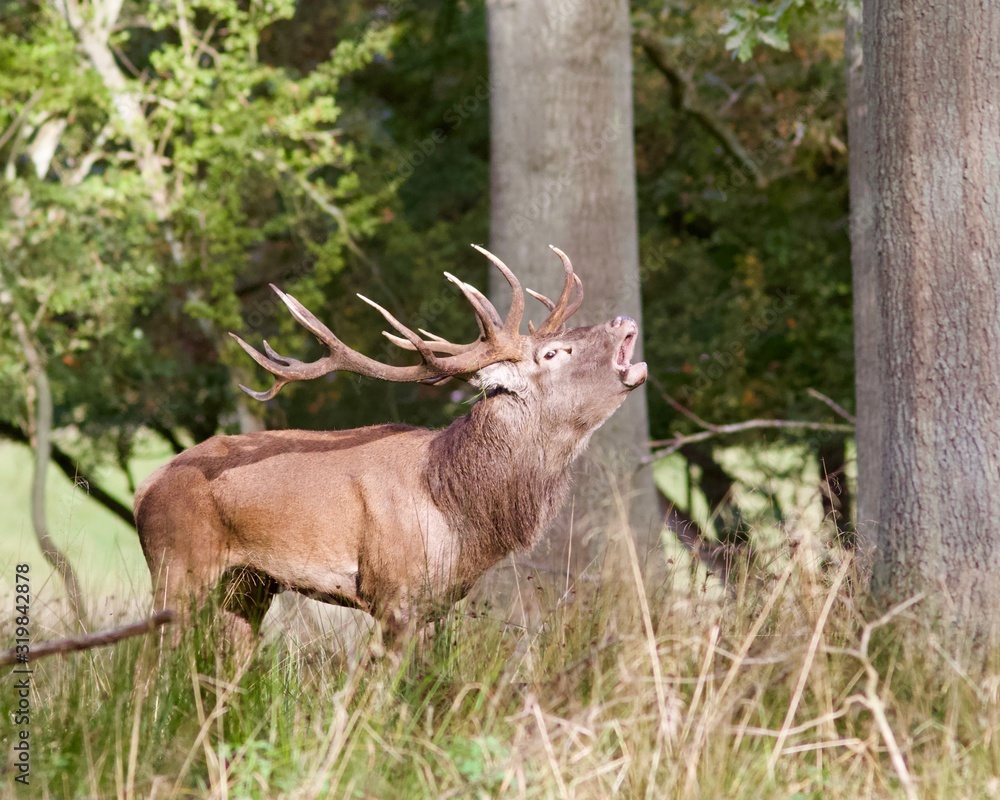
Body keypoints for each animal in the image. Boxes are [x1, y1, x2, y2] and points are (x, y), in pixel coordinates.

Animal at [133, 245, 648, 650]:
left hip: (247, 586)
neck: (461, 510)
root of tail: (144, 488)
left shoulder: (438, 603)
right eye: (553, 353)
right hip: (177, 566)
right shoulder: (393, 594)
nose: (623, 319)